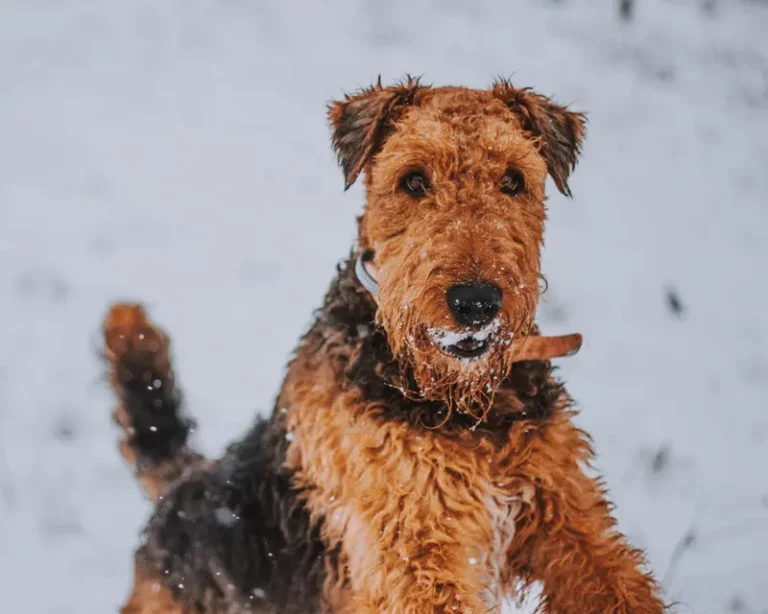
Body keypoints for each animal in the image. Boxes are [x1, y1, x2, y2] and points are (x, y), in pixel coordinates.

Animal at [102, 78, 664, 614]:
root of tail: (182, 486)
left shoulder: (569, 515)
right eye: (413, 179)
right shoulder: (414, 554)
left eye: (513, 180)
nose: (476, 303)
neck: (464, 412)